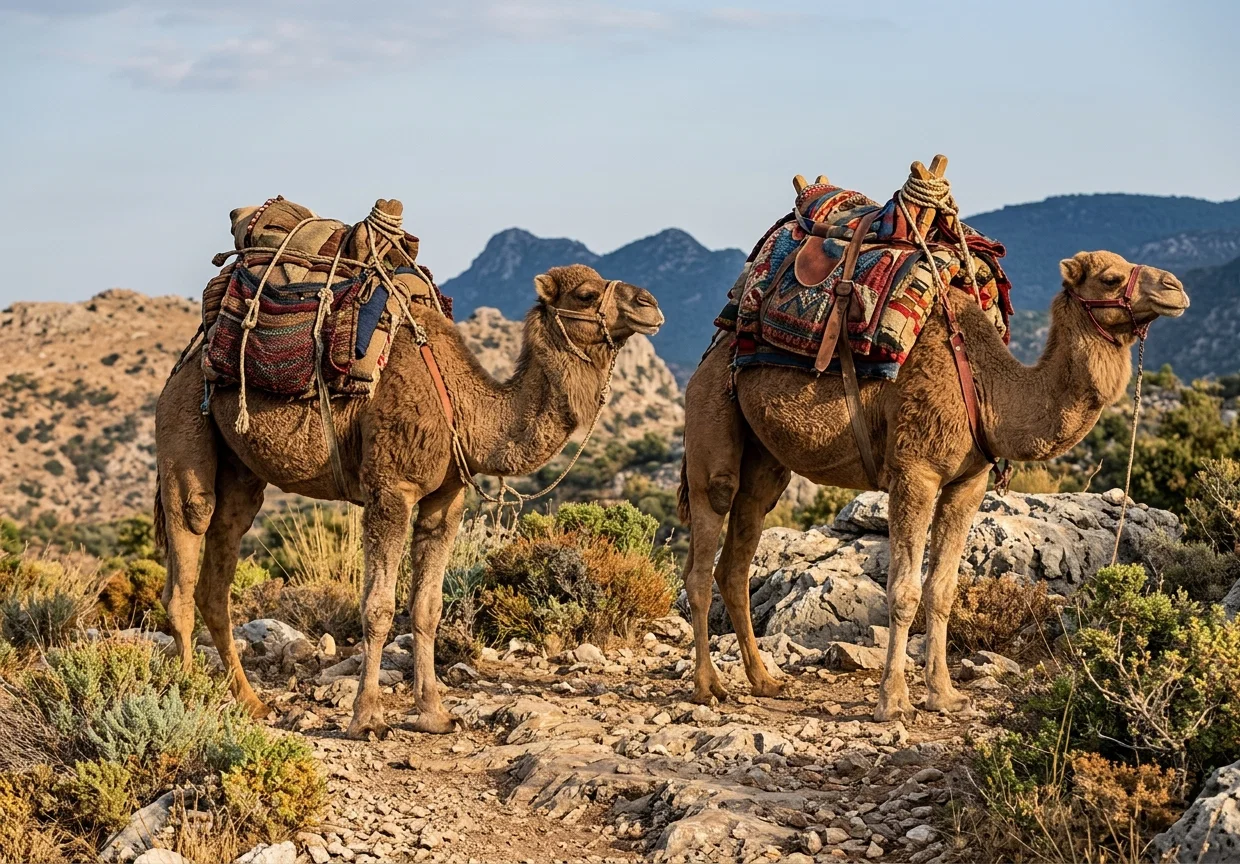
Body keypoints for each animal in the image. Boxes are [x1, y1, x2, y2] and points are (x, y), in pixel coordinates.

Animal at [155, 264, 664, 738]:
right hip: (183, 420)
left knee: (220, 563)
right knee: (189, 538)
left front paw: (435, 713)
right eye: (586, 293)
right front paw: (366, 719)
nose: (650, 304)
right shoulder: (391, 488)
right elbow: (378, 607)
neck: (466, 409)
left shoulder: (447, 497)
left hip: (241, 469)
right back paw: (189, 700)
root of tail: (185, 363)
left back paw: (252, 704)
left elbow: (427, 607)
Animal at [678, 250, 1188, 722]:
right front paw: (892, 701)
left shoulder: (968, 482)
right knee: (705, 543)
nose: (1175, 288)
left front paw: (944, 695)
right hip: (711, 414)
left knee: (739, 553)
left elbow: (942, 589)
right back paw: (707, 688)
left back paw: (764, 681)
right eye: (1111, 278)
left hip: (764, 458)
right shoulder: (914, 471)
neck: (987, 389)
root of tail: (716, 344)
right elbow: (903, 591)